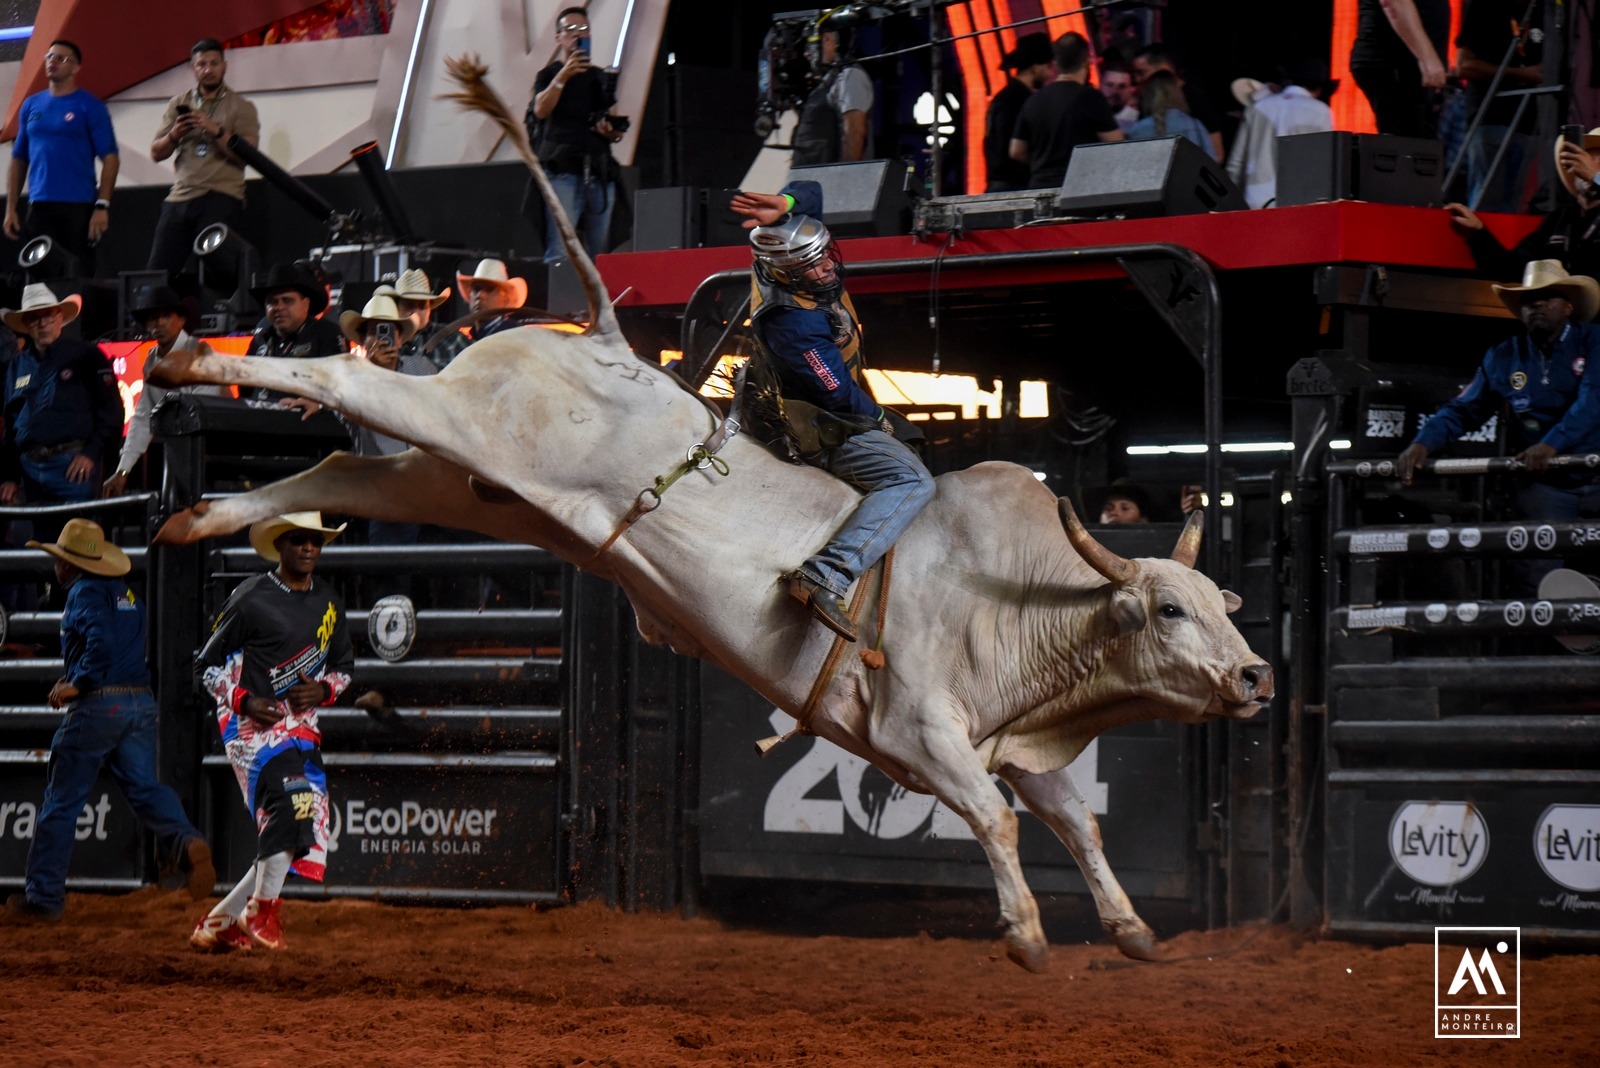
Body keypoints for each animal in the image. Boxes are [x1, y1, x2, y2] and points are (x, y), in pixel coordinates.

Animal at [150, 60, 1273, 978]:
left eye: (1223, 601)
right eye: (1168, 612)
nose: (1257, 677)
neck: (1019, 603)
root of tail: (602, 338)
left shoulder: (1016, 740)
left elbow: (1078, 823)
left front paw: (1131, 931)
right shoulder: (924, 730)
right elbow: (996, 824)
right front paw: (1030, 938)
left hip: (460, 480)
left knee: (342, 464)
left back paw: (193, 520)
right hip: (456, 421)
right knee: (343, 376)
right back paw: (181, 364)